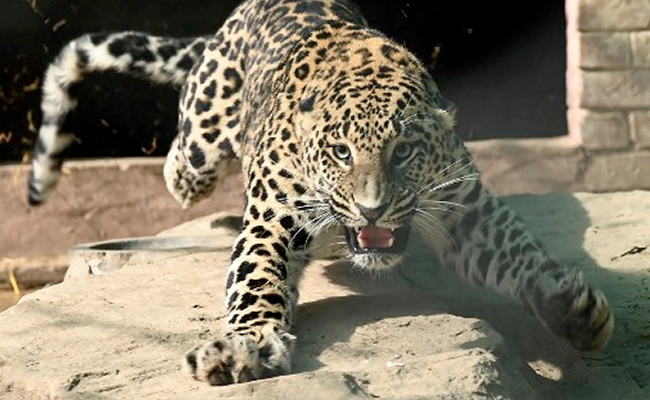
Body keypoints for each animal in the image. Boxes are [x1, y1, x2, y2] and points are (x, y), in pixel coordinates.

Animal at [29, 0, 613, 386]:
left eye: (404, 151)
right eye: (340, 153)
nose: (372, 210)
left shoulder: (465, 209)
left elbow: (518, 252)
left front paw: (572, 310)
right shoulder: (271, 223)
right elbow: (257, 284)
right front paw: (246, 349)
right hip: (202, 137)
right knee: (181, 165)